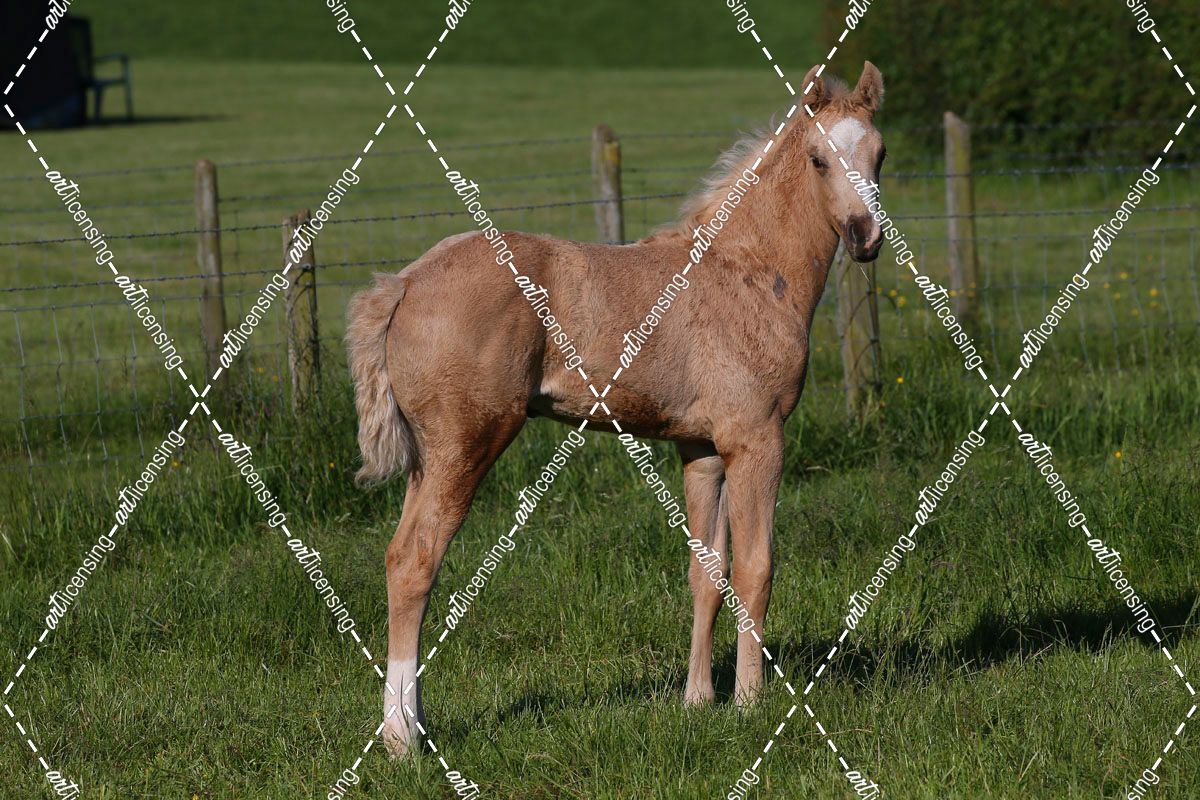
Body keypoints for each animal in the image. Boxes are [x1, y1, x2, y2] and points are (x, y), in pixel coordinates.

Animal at [346, 61, 886, 757]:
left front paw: (697, 700)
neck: (748, 273)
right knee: (415, 562)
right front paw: (749, 703)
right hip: (466, 444)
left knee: (398, 558)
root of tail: (404, 283)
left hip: (429, 453)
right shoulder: (756, 439)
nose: (866, 237)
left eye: (880, 154)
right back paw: (401, 739)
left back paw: (413, 724)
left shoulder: (701, 448)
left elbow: (706, 572)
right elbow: (756, 569)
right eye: (818, 159)